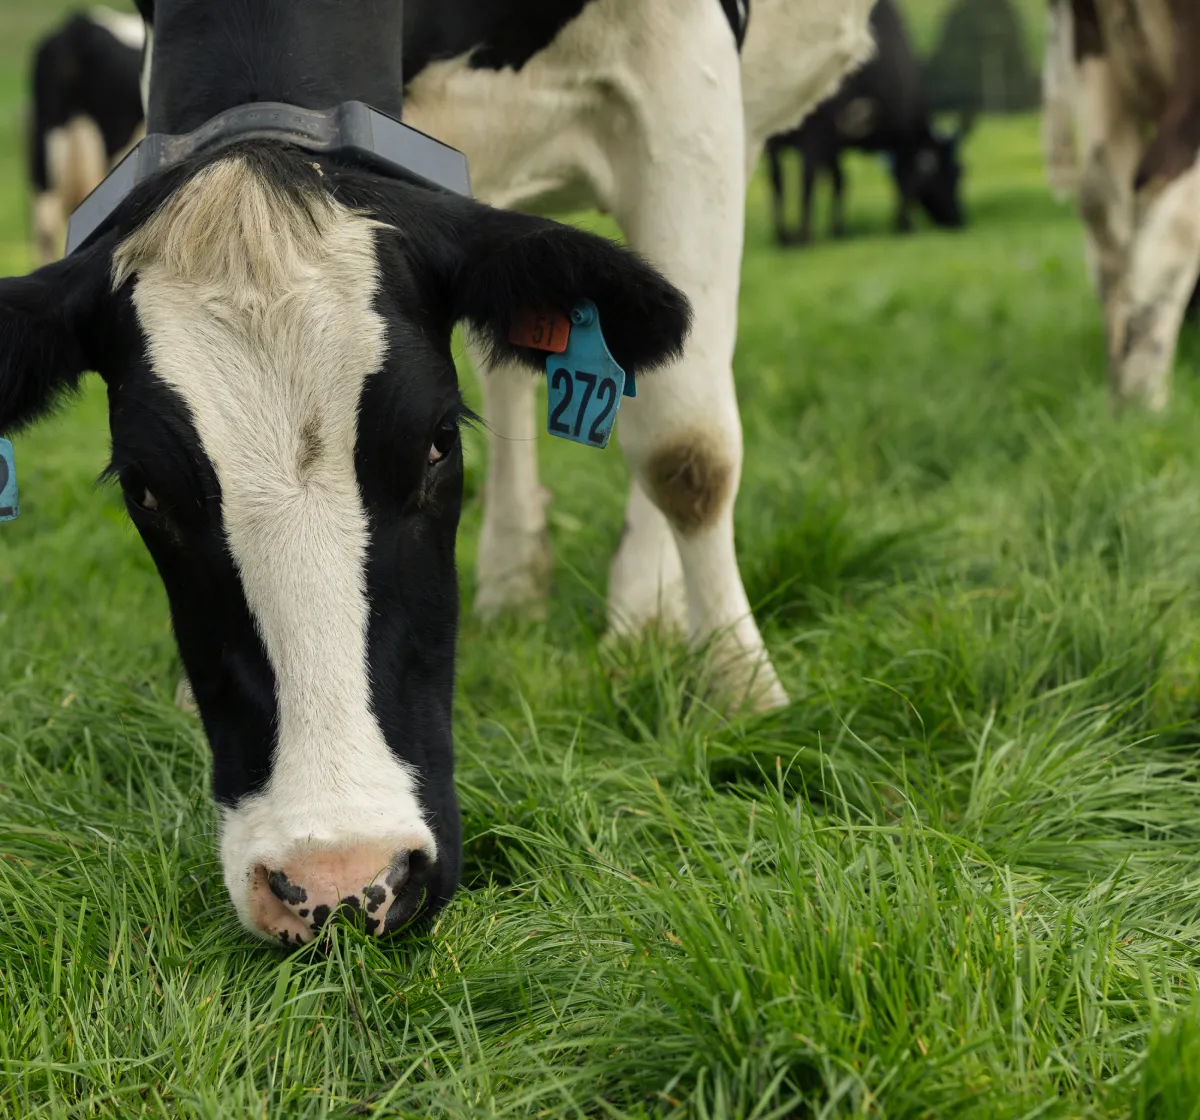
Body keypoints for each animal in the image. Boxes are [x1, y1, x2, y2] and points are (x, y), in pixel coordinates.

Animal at [764, 0, 966, 247]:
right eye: (955, 173)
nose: (959, 219)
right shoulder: (901, 137)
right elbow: (904, 180)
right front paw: (905, 227)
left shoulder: (833, 146)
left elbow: (840, 181)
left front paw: (838, 231)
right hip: (811, 130)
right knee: (805, 177)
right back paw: (803, 236)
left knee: (777, 181)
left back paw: (783, 237)